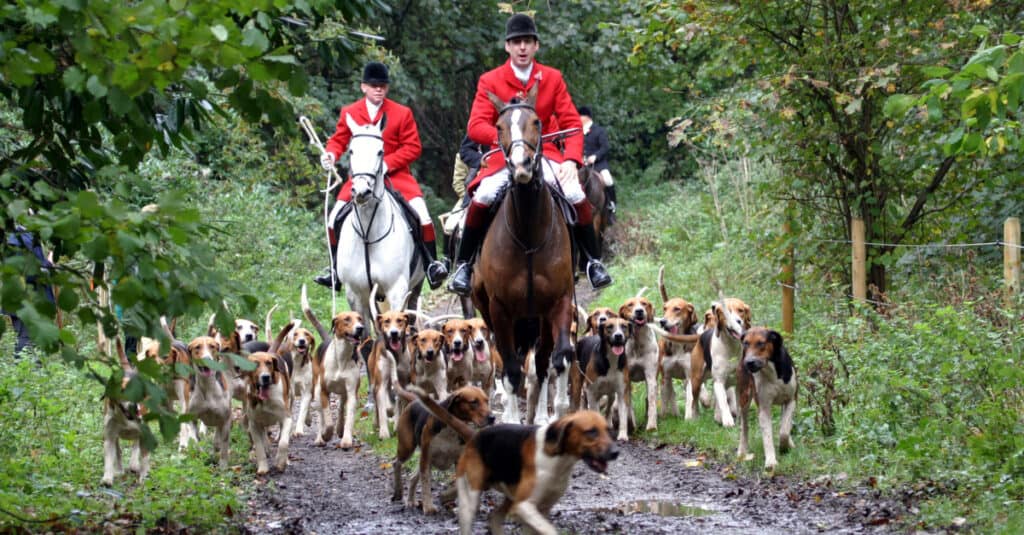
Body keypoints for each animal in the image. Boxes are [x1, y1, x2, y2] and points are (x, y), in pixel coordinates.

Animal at [335, 112, 423, 327]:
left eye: (380, 152)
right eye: (351, 150)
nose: (361, 191)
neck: (368, 234)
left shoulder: (397, 291)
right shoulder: (355, 294)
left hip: (414, 289)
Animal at [468, 87, 577, 422]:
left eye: (537, 122)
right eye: (499, 127)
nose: (521, 167)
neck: (528, 233)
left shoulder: (559, 301)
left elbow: (559, 358)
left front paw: (556, 413)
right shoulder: (500, 309)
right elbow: (511, 368)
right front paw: (512, 420)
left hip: (537, 317)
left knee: (540, 361)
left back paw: (539, 416)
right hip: (491, 312)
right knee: (509, 362)